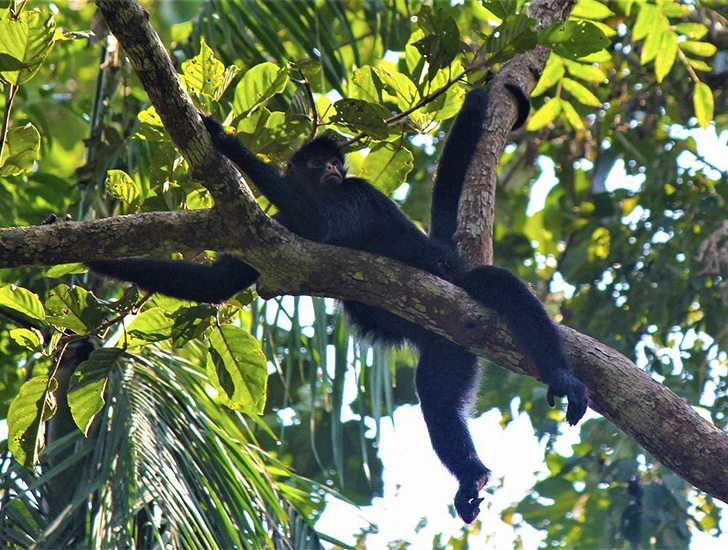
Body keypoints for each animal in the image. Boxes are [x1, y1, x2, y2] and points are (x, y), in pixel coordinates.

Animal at [90, 88, 588, 523]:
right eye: (319, 161)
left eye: (336, 163)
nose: (332, 166)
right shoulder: (273, 224)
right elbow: (216, 285)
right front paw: (94, 260)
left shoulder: (354, 193)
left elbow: (318, 225)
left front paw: (223, 138)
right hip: (451, 346)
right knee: (437, 395)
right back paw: (472, 476)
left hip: (456, 294)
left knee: (499, 286)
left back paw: (562, 376)